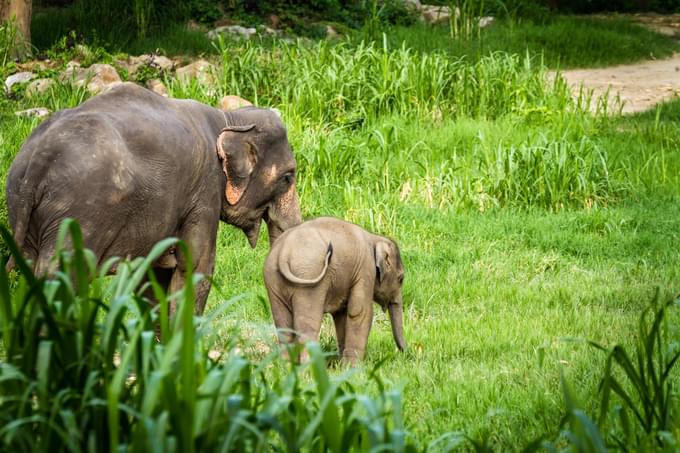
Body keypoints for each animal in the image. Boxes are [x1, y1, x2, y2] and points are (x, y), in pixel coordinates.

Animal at [5, 81, 302, 312]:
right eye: (288, 177)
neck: (229, 119)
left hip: (23, 205)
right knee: (62, 275)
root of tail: (39, 158)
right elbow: (196, 266)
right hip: (78, 214)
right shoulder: (204, 191)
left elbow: (155, 276)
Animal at [262, 217, 406, 362]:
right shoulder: (365, 269)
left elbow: (341, 314)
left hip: (273, 279)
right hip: (308, 279)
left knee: (284, 330)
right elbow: (359, 312)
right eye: (401, 278)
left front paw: (343, 363)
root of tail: (284, 252)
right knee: (307, 329)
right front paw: (353, 366)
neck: (375, 238)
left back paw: (287, 366)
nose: (405, 352)